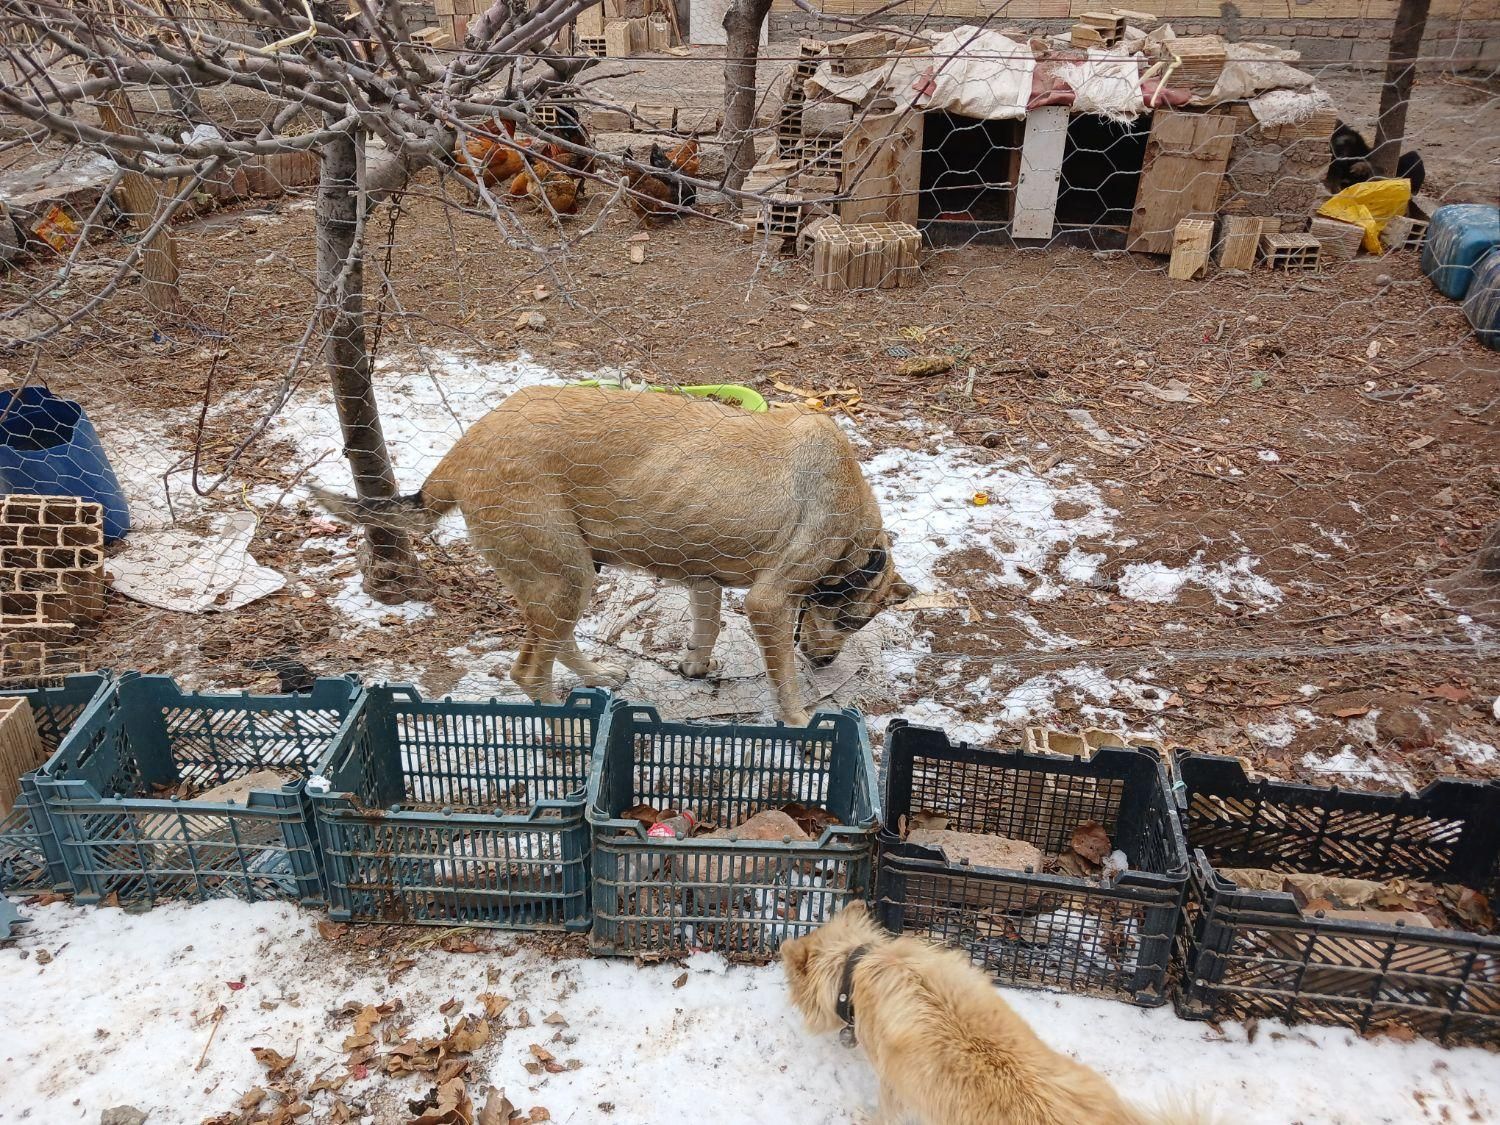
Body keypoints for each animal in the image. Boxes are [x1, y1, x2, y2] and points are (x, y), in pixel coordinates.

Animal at [310, 384, 906, 726]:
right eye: (852, 621)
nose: (825, 663)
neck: (858, 533)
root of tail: (461, 455)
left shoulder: (704, 578)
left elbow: (706, 625)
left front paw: (695, 664)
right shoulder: (769, 602)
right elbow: (783, 677)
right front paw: (800, 721)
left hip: (565, 577)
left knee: (555, 643)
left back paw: (596, 675)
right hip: (565, 575)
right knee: (529, 670)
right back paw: (566, 725)